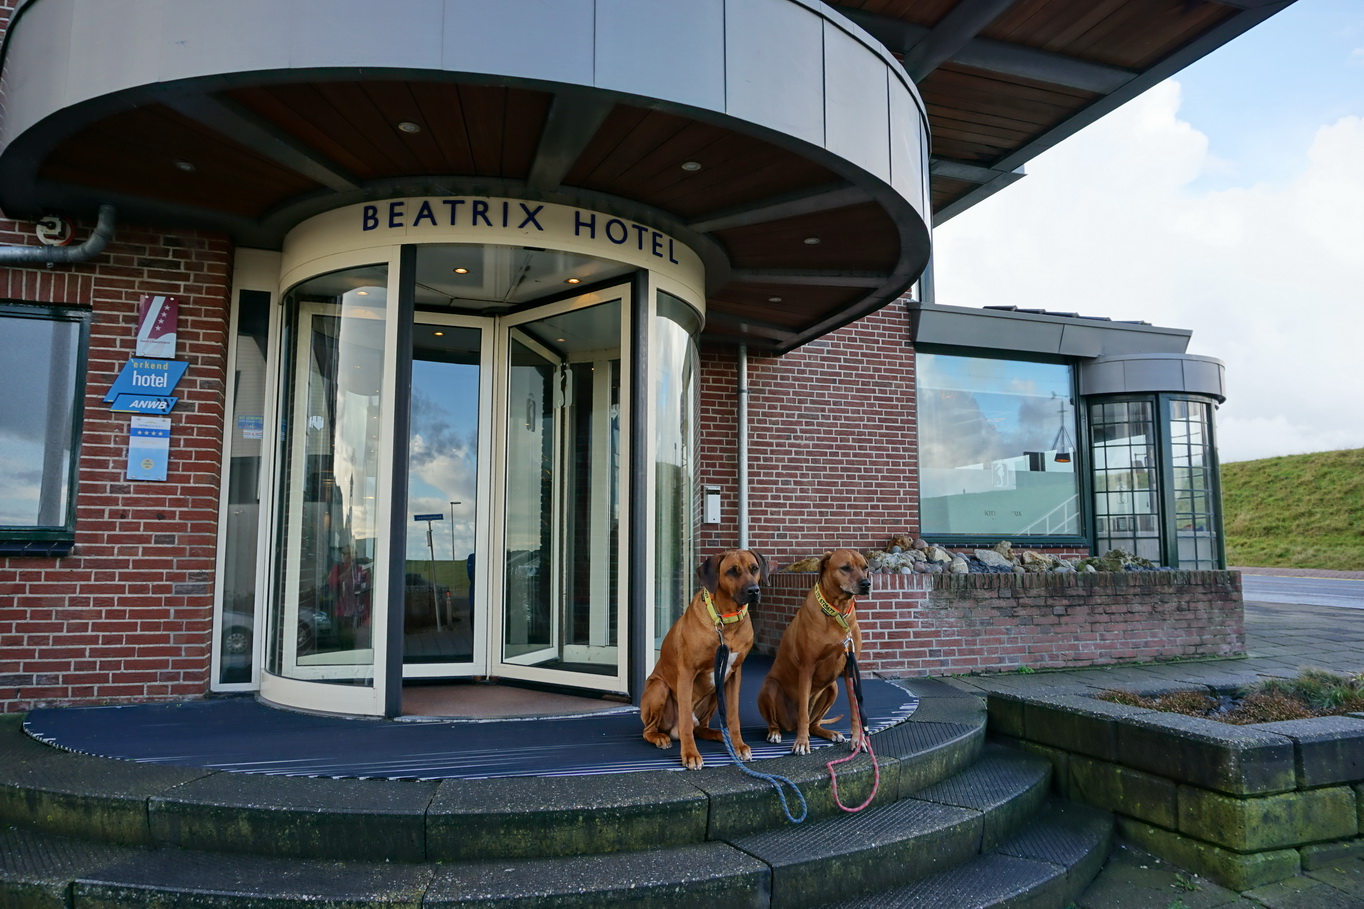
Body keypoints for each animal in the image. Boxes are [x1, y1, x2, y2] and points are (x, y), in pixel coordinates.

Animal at [641, 548, 769, 769]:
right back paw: (659, 737)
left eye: (755, 568)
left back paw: (721, 736)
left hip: (715, 694)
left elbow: (733, 716)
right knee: (651, 729)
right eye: (732, 571)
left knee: (701, 728)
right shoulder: (687, 673)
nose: (754, 590)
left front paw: (738, 745)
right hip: (659, 688)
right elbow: (684, 719)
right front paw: (690, 754)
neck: (726, 621)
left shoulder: (734, 674)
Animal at [758, 548, 872, 753]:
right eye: (845, 567)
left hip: (832, 688)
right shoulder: (807, 667)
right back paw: (775, 733)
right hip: (770, 687)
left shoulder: (849, 668)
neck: (838, 612)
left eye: (865, 567)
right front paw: (802, 743)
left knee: (813, 723)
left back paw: (830, 733)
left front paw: (858, 740)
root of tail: (790, 725)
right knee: (781, 721)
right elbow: (803, 711)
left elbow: (855, 710)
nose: (866, 584)